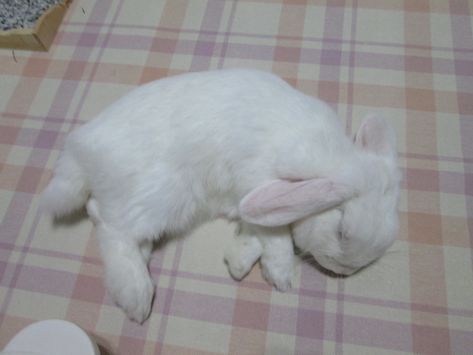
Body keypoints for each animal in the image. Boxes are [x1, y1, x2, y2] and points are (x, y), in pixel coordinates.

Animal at [42, 69, 400, 322]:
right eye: (342, 231)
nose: (345, 271)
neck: (332, 161)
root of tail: (80, 151)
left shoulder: (253, 201)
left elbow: (256, 229)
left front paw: (238, 263)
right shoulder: (260, 179)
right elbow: (277, 235)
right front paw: (280, 275)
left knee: (99, 212)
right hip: (161, 198)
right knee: (113, 230)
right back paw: (137, 295)